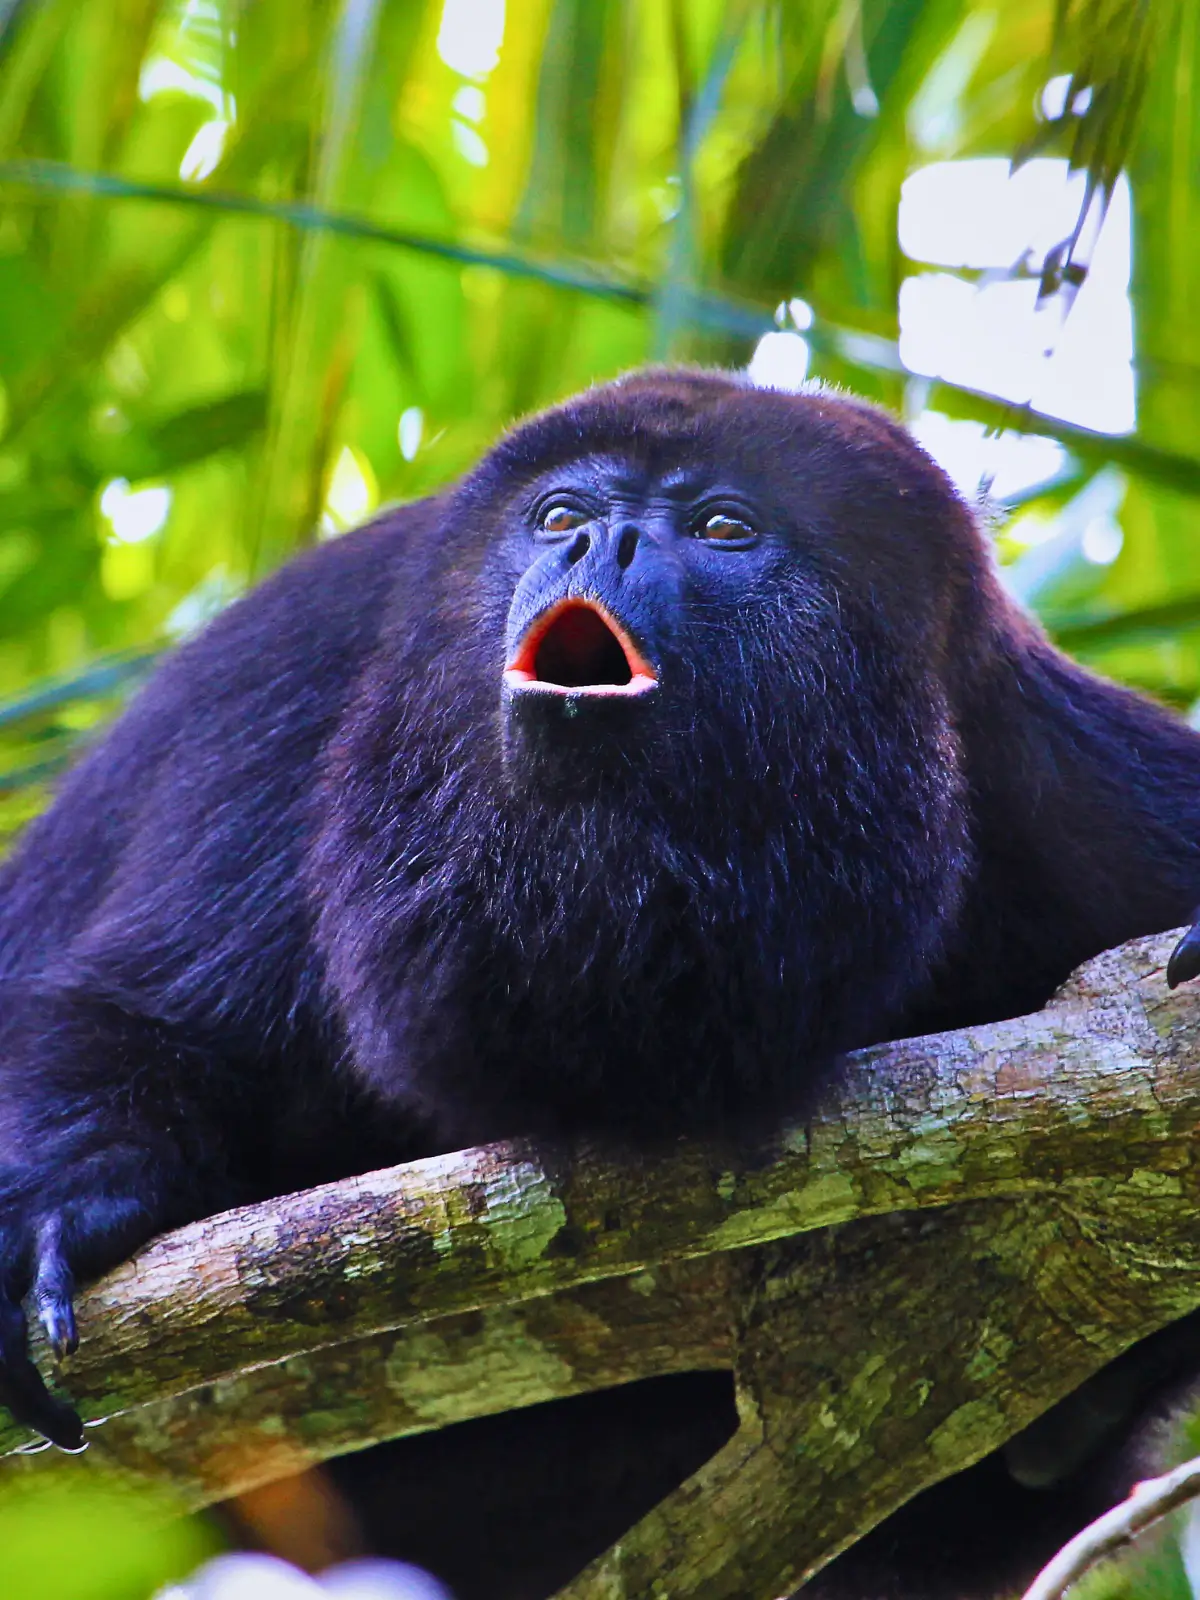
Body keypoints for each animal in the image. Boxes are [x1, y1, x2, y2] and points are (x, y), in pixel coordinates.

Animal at [1, 366, 1199, 1596]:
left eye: (723, 526)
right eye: (561, 515)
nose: (604, 541)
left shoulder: (1039, 763)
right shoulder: (300, 681)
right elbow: (153, 1014)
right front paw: (67, 1205)